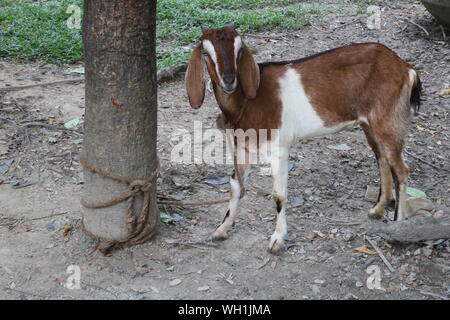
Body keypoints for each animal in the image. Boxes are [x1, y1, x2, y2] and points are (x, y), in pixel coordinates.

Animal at [185, 25, 422, 254]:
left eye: (239, 49)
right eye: (205, 52)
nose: (229, 80)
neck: (249, 101)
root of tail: (405, 67)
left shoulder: (279, 147)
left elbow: (279, 195)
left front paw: (277, 240)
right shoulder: (242, 147)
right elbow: (235, 186)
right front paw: (222, 229)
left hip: (388, 120)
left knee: (401, 169)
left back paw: (399, 224)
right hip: (369, 124)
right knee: (382, 158)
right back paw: (378, 208)